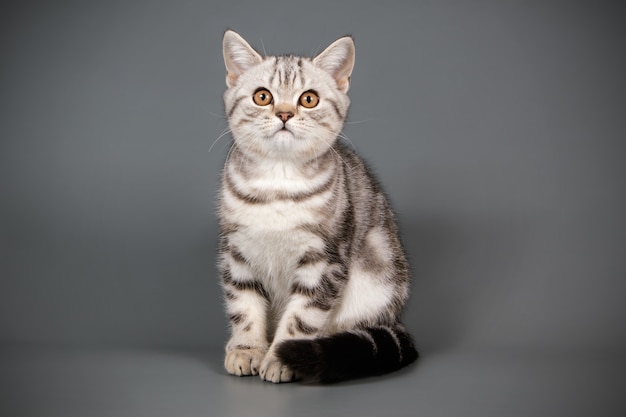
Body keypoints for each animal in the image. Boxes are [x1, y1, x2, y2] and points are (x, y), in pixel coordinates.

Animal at [217, 28, 416, 380]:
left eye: (308, 99)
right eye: (262, 97)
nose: (284, 113)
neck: (278, 183)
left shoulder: (324, 261)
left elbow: (301, 316)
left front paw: (282, 358)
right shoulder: (237, 253)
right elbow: (244, 306)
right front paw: (247, 349)